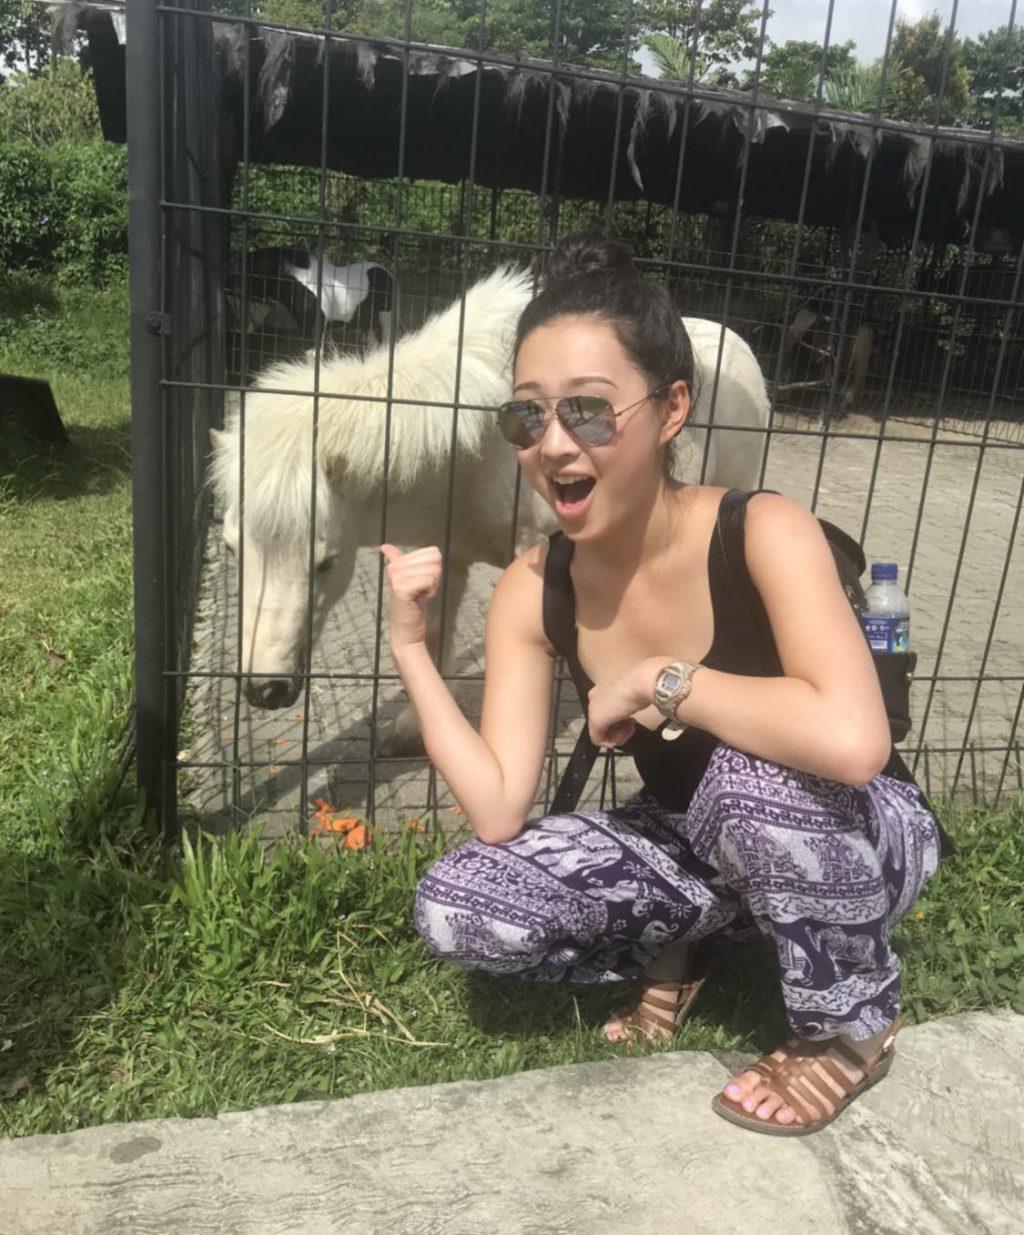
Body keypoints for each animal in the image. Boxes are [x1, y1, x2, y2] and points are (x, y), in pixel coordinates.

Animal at [207, 263, 765, 741]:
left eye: (325, 562)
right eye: (232, 550)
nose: (266, 690)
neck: (477, 445)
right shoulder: (442, 554)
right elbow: (433, 640)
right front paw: (414, 729)